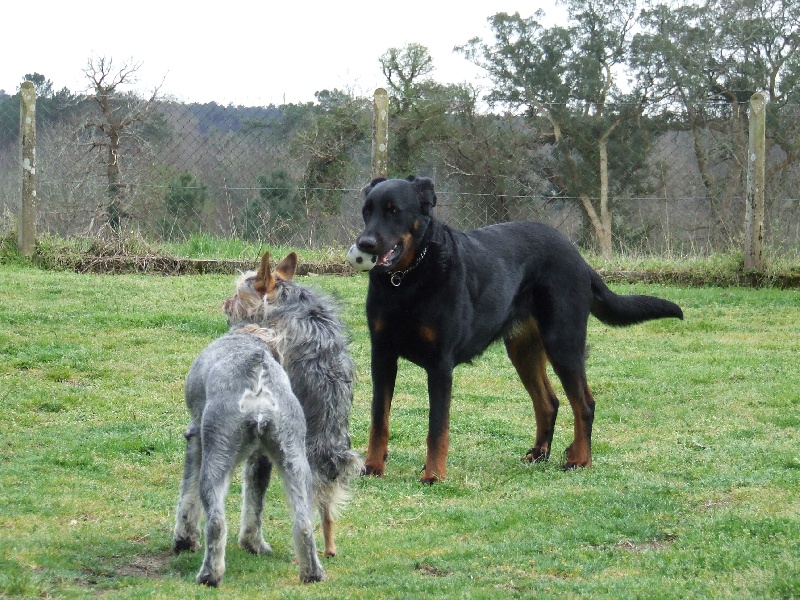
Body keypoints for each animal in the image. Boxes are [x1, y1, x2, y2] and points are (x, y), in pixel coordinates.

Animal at [177, 252, 364, 584]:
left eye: (239, 292)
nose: (226, 302)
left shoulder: (196, 438)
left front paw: (184, 538)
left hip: (219, 460)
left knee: (216, 522)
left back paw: (210, 573)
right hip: (299, 464)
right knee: (312, 517)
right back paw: (319, 558)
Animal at [354, 175, 680, 482]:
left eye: (394, 210)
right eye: (366, 211)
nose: (365, 244)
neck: (407, 279)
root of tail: (577, 256)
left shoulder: (440, 364)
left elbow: (437, 427)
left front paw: (433, 475)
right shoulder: (382, 356)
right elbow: (378, 419)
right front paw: (372, 467)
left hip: (563, 343)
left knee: (584, 404)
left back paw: (580, 459)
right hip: (524, 349)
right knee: (549, 402)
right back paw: (540, 454)